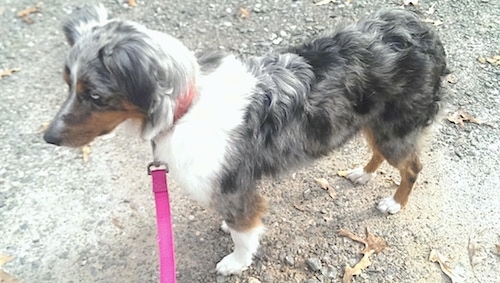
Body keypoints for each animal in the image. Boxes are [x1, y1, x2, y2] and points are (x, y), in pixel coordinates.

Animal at [45, 4, 448, 276]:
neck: (186, 106)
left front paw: (236, 262)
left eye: (94, 95)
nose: (49, 137)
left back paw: (394, 202)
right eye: (68, 84)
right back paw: (363, 174)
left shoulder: (234, 189)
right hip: (373, 122)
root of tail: (422, 30)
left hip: (395, 127)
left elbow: (243, 232)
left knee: (413, 166)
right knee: (378, 151)